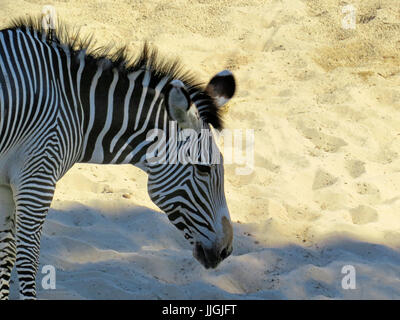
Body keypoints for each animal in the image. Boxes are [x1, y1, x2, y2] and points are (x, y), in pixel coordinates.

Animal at [0, 17, 236, 300]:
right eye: (203, 169)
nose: (226, 251)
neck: (76, 107)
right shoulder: (37, 178)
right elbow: (26, 261)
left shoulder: (5, 184)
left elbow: (5, 258)